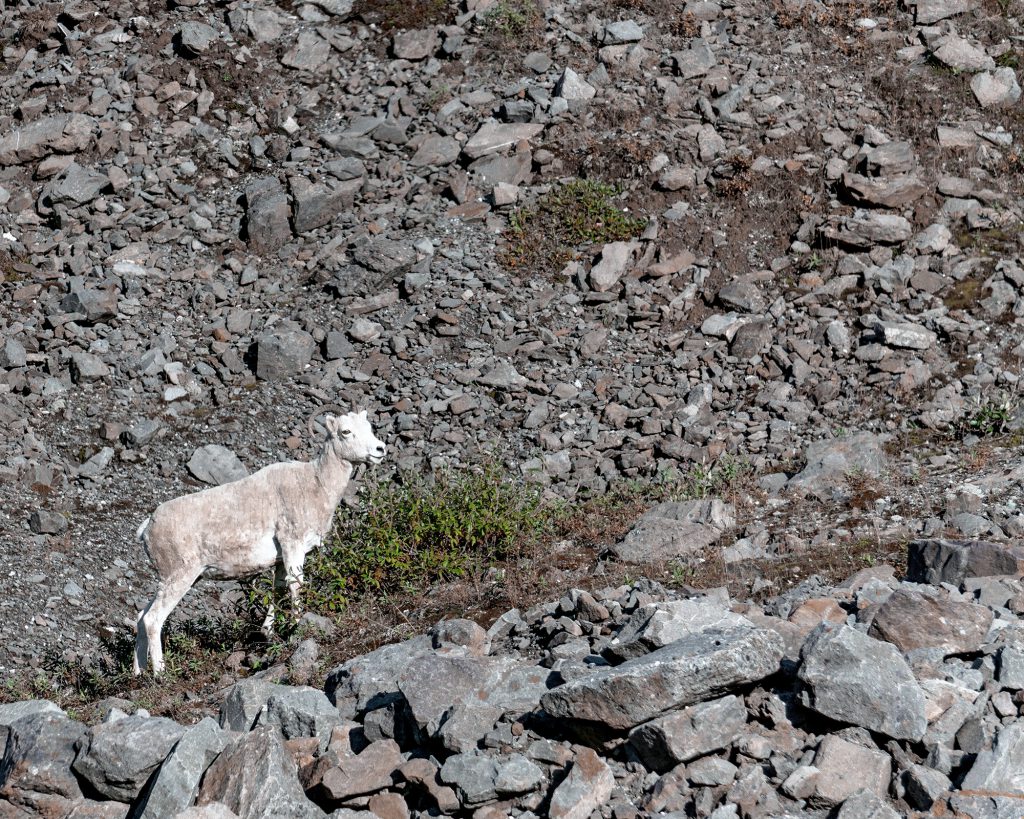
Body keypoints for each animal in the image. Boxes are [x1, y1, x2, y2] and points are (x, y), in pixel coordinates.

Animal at [129, 405, 385, 675]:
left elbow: (278, 590)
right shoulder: (293, 546)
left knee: (141, 617)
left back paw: (138, 674)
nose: (380, 450)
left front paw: (268, 632)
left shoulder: (280, 560)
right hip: (180, 577)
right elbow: (296, 586)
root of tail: (147, 528)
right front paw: (296, 628)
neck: (316, 484)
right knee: (153, 619)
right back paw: (160, 673)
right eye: (346, 431)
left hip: (173, 579)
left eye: (369, 428)